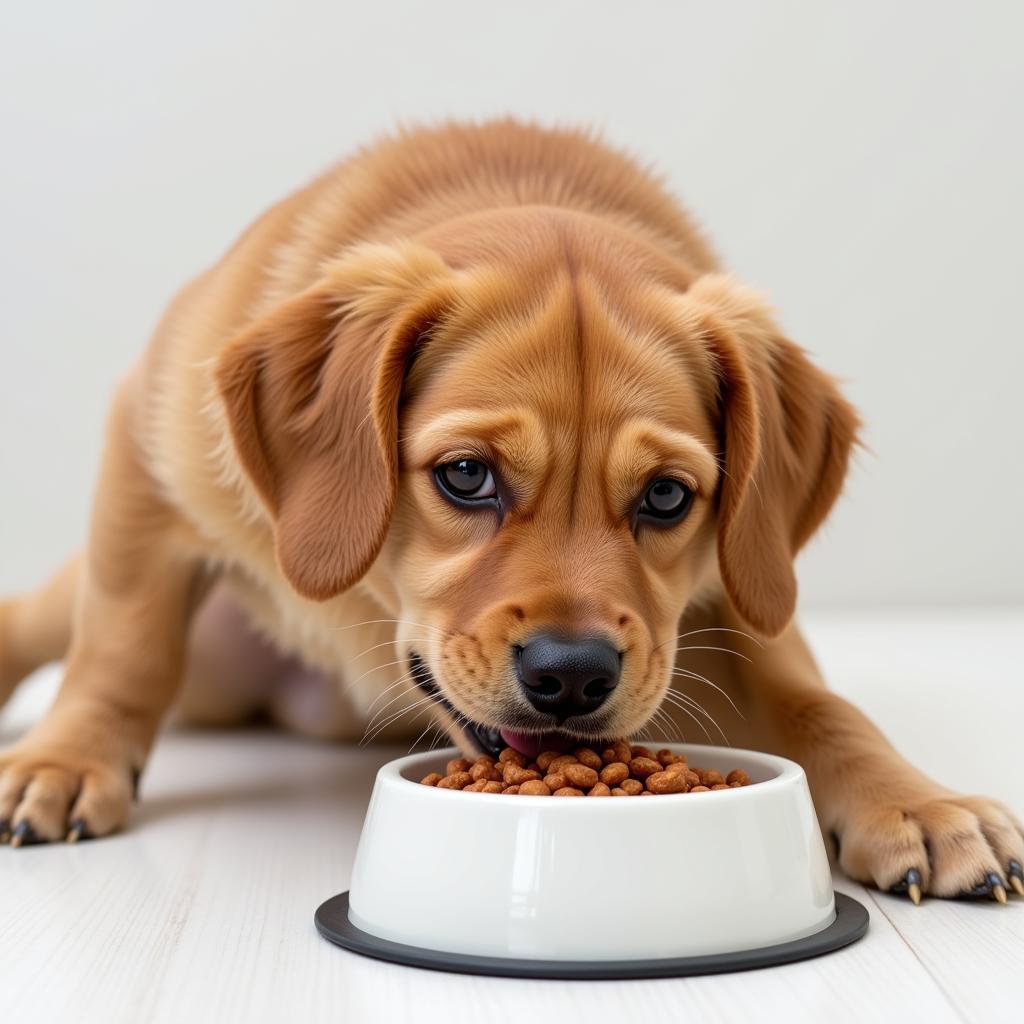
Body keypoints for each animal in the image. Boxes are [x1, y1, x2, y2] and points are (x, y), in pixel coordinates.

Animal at [0, 119, 1019, 901]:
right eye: (465, 476)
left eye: (666, 495)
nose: (571, 677)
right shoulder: (147, 460)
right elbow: (121, 644)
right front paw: (70, 762)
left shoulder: (737, 611)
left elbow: (818, 703)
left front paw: (917, 802)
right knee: (53, 624)